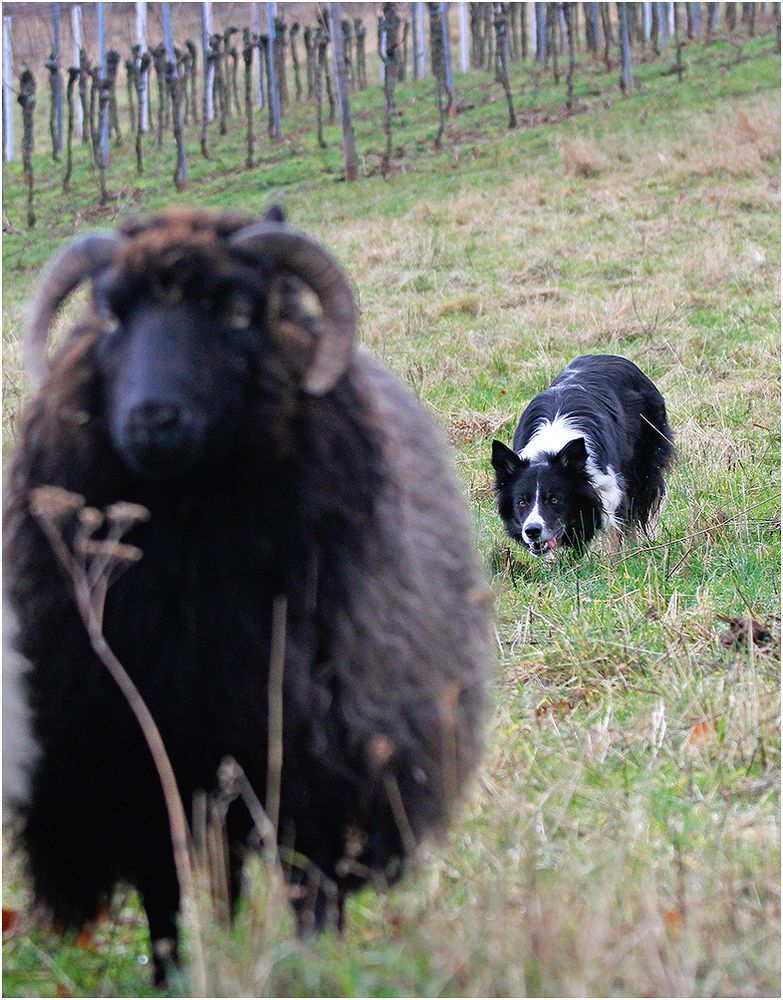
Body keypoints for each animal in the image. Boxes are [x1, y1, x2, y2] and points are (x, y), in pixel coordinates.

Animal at [496, 354, 672, 560]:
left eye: (554, 499)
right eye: (522, 502)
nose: (532, 531)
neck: (552, 447)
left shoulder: (609, 488)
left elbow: (613, 529)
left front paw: (613, 563)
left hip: (644, 463)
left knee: (633, 512)